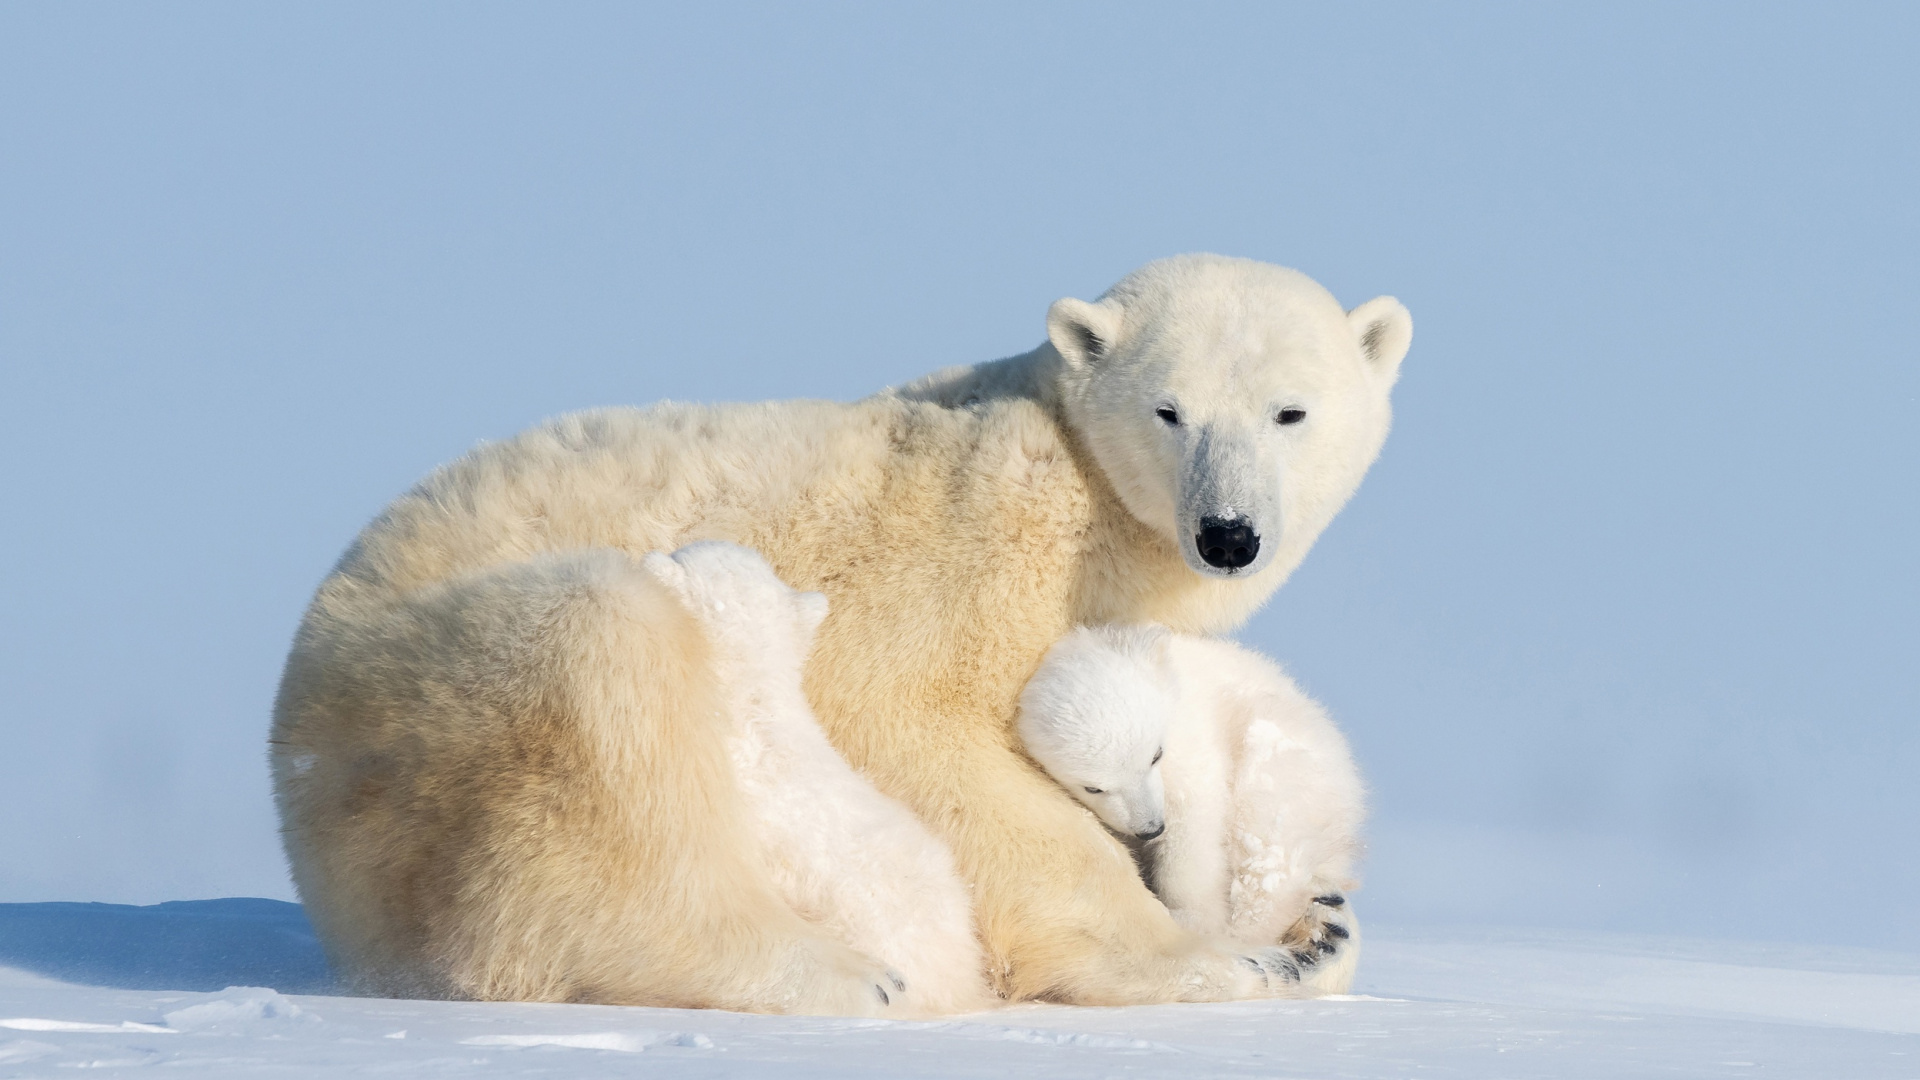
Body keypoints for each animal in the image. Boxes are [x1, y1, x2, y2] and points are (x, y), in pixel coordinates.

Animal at [270, 251, 1413, 1006]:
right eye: (1169, 410)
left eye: (1290, 411)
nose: (1228, 534)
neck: (1089, 511)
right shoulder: (964, 551)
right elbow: (914, 726)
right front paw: (1222, 958)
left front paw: (1315, 926)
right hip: (409, 705)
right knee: (597, 683)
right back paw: (840, 974)